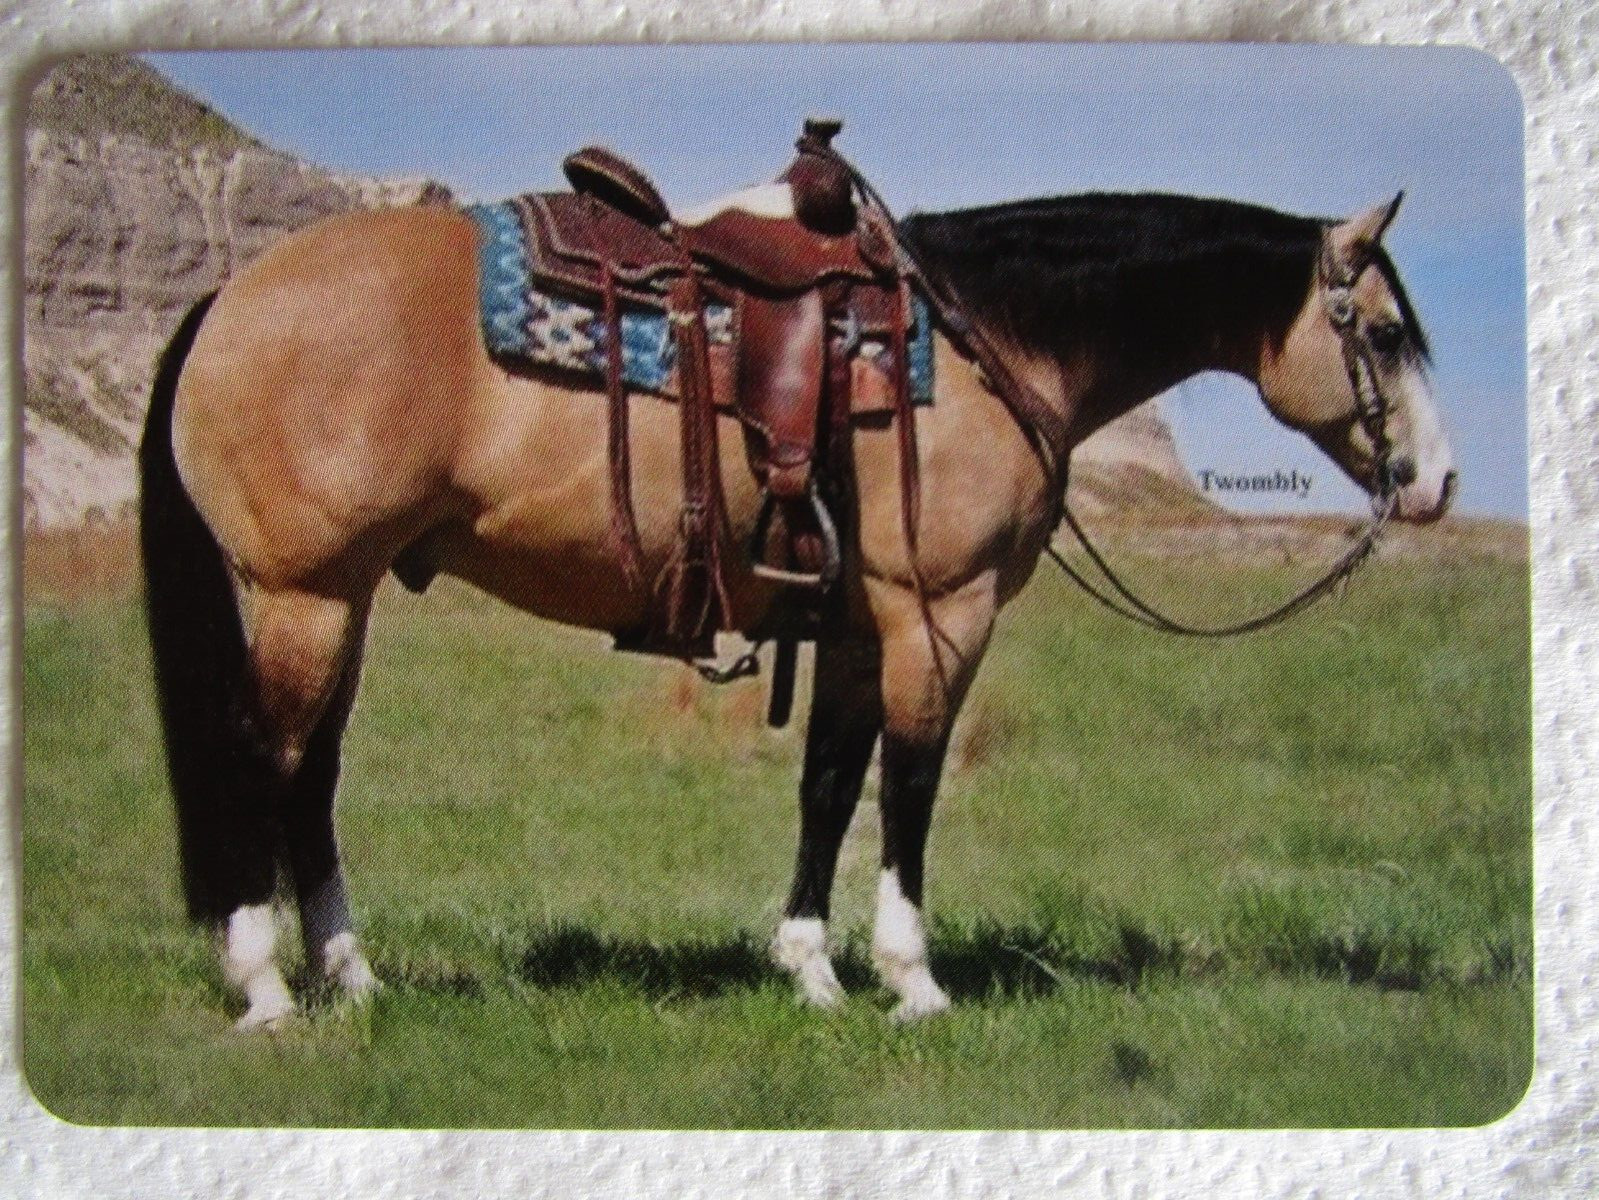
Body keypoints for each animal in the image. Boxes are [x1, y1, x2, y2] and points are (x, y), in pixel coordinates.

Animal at [138, 181, 1454, 1029]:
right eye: (1387, 332)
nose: (1435, 483)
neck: (985, 341)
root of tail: (231, 295)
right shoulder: (939, 612)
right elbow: (912, 786)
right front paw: (913, 981)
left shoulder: (859, 626)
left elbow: (829, 783)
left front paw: (811, 970)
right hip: (303, 596)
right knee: (263, 762)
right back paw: (267, 987)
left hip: (341, 600)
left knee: (311, 777)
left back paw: (353, 978)